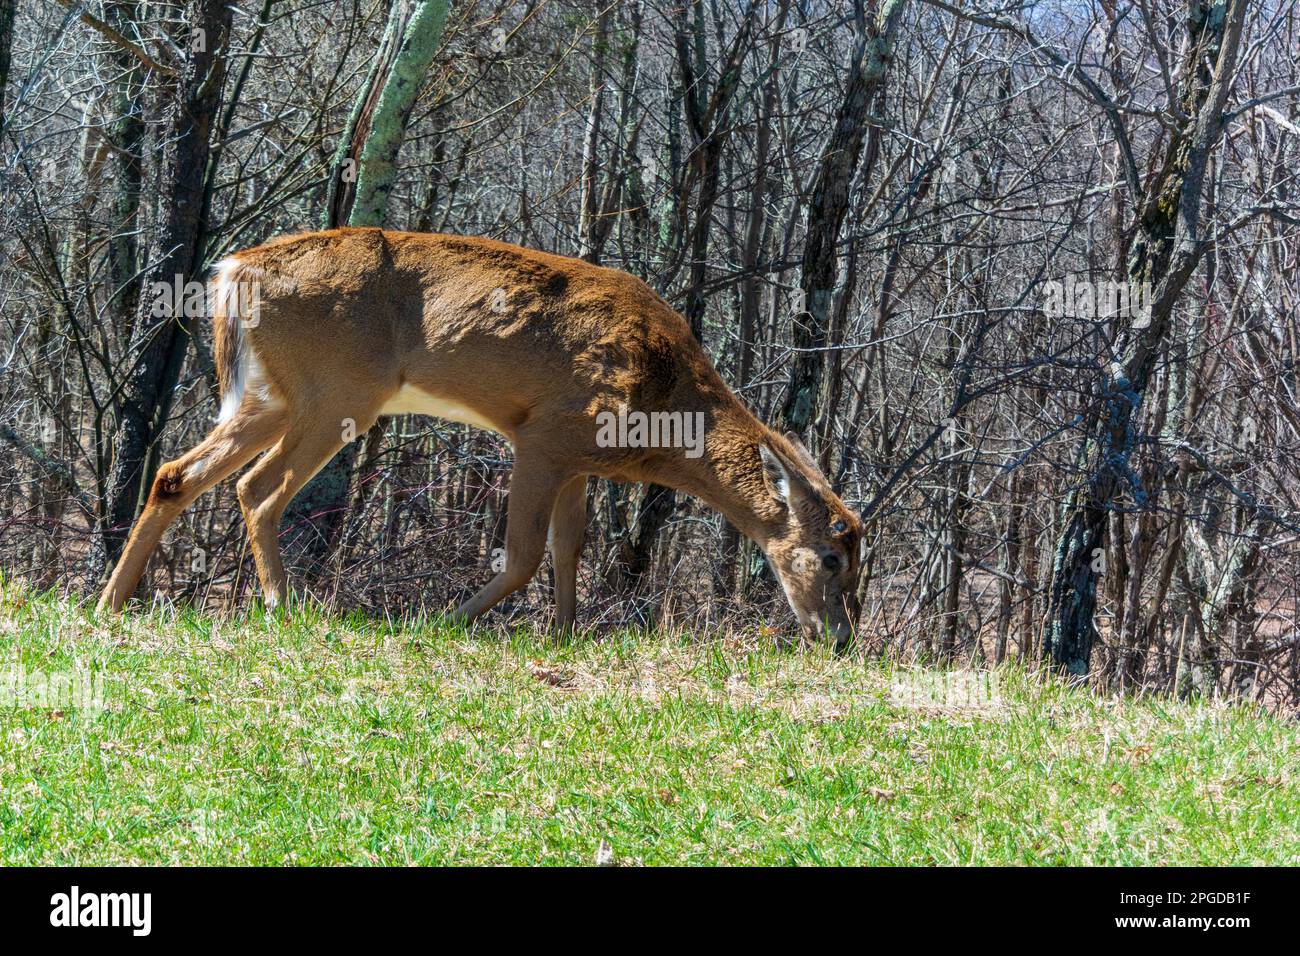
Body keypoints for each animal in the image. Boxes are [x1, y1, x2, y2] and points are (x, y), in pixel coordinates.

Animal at [96, 227, 868, 647]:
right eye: (832, 556)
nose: (839, 638)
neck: (663, 404)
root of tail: (234, 270)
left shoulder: (580, 461)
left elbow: (567, 548)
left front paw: (564, 632)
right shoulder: (545, 434)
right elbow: (524, 555)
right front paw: (443, 620)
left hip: (272, 396)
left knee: (175, 473)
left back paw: (110, 603)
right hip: (337, 391)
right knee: (258, 489)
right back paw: (283, 607)